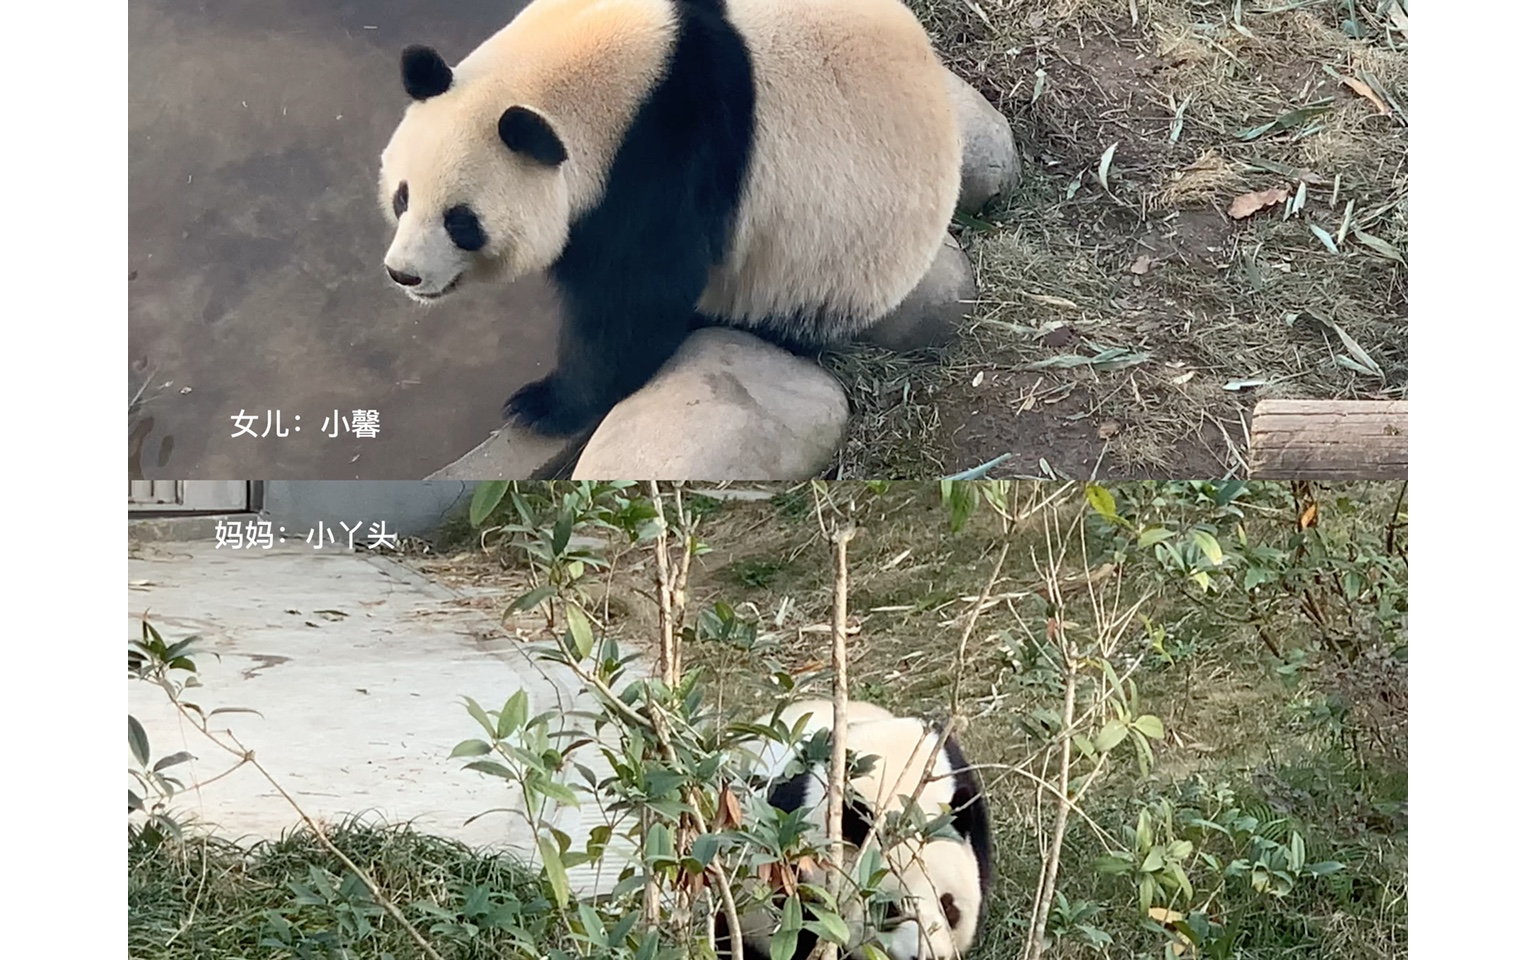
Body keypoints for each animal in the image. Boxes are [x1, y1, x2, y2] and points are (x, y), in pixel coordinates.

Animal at [377, 0, 958, 439]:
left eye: (461, 222)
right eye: (403, 197)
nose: (403, 274)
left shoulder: (665, 153)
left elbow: (633, 294)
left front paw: (541, 404)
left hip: (834, 254)